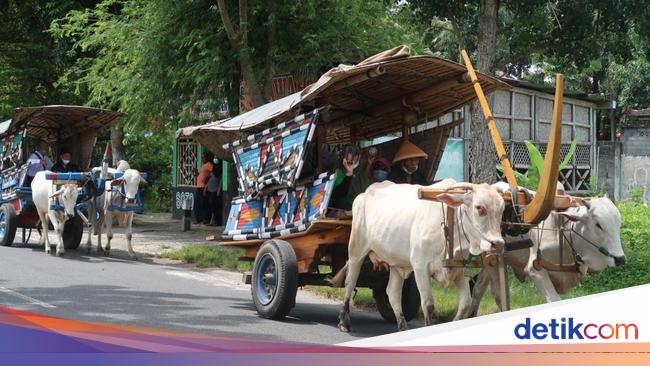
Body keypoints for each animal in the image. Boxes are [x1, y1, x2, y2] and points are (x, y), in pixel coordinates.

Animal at [330, 179, 506, 334]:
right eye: (479, 208)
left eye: (502, 210)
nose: (498, 244)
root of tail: (366, 192)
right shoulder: (421, 267)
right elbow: (428, 305)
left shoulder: (460, 271)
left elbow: (465, 304)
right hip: (356, 249)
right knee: (350, 282)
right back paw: (344, 322)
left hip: (396, 263)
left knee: (392, 292)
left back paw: (403, 327)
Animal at [468, 184, 624, 314]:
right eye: (598, 225)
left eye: (618, 223)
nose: (620, 259)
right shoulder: (535, 269)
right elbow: (553, 299)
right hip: (494, 259)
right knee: (496, 294)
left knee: (478, 287)